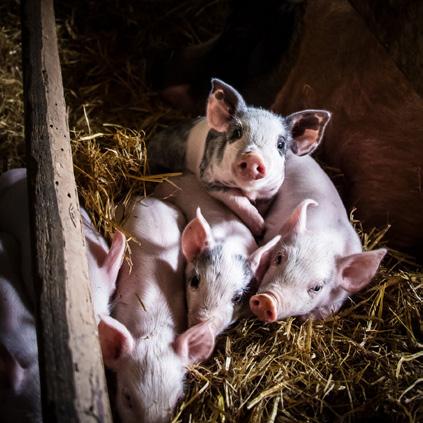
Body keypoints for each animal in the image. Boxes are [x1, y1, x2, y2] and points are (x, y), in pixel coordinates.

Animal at [149, 78, 332, 237]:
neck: (250, 190)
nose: (253, 158)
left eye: (280, 144)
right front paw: (260, 228)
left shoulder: (270, 191)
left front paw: (261, 228)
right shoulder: (208, 177)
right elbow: (237, 198)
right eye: (237, 132)